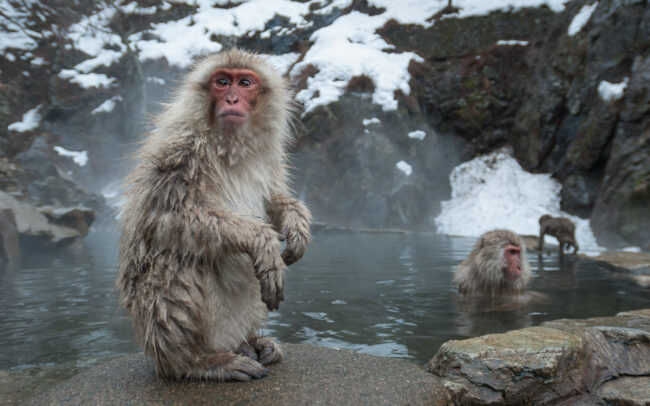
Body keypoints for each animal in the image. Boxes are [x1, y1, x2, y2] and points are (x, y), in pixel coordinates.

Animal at [117, 48, 312, 381]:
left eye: (244, 83)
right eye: (221, 82)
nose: (231, 99)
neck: (231, 145)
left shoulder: (268, 158)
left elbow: (272, 199)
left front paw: (295, 222)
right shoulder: (181, 151)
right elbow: (167, 217)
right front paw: (262, 241)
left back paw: (252, 342)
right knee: (177, 259)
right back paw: (196, 361)